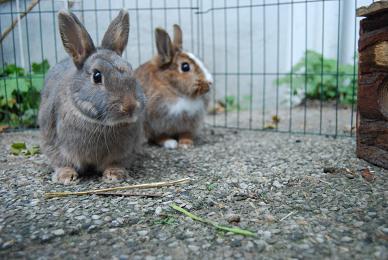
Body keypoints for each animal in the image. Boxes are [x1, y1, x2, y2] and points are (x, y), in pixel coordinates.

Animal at [38, 9, 146, 185]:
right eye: (96, 76)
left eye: (131, 70)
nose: (130, 107)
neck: (99, 124)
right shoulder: (53, 142)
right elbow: (61, 162)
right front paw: (66, 176)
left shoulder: (125, 150)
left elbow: (115, 162)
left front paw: (115, 174)